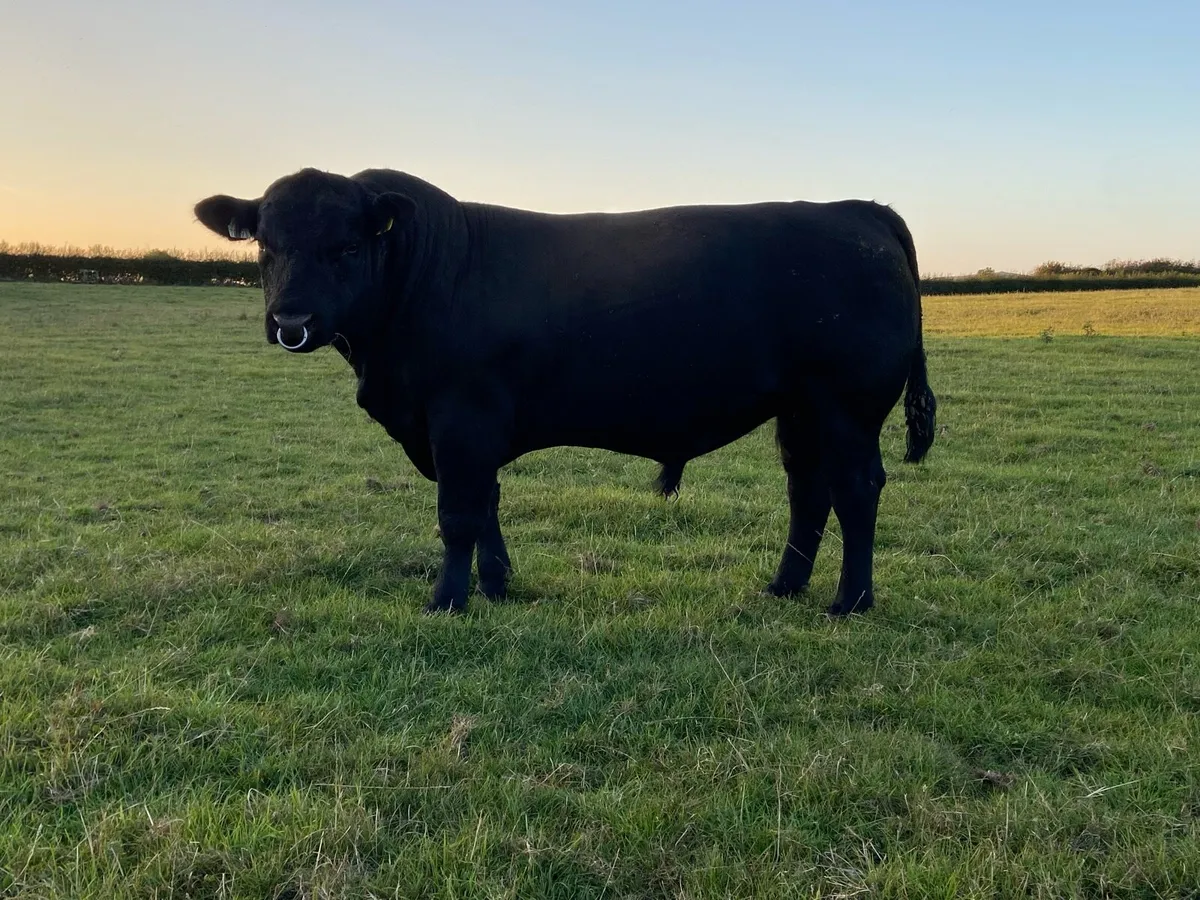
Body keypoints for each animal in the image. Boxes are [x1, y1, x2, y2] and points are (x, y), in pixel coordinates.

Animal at [194, 167, 936, 616]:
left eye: (347, 247)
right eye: (264, 245)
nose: (290, 321)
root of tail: (855, 209)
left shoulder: (459, 421)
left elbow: (458, 513)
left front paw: (447, 600)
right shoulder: (468, 432)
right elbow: (487, 505)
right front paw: (496, 585)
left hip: (847, 407)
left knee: (856, 491)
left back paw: (850, 600)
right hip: (800, 409)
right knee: (807, 494)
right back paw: (783, 587)